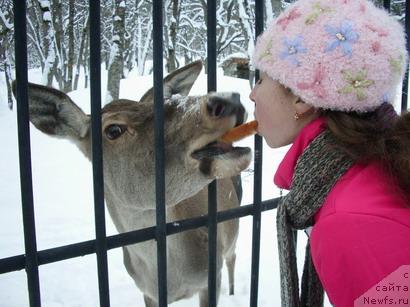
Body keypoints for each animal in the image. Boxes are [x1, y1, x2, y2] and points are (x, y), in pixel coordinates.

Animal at [12, 60, 253, 307]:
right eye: (113, 129)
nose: (228, 100)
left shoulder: (212, 275)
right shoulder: (147, 292)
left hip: (231, 235)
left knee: (233, 256)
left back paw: (233, 291)